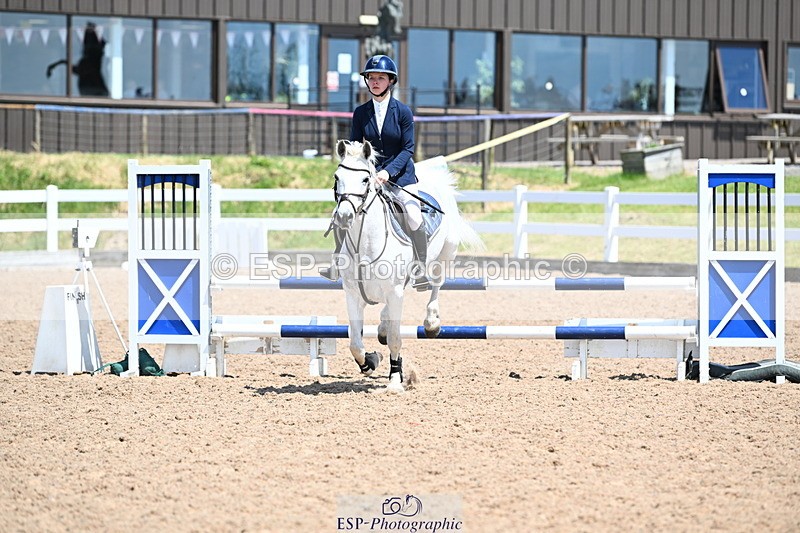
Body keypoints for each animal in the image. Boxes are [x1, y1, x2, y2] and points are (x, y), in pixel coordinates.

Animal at [329, 139, 483, 392]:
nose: (343, 216)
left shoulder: (394, 291)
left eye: (365, 180)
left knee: (436, 285)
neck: (366, 241)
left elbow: (395, 338)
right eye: (336, 177)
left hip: (445, 256)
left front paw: (394, 381)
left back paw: (432, 323)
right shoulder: (352, 293)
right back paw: (382, 328)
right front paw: (371, 361)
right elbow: (355, 343)